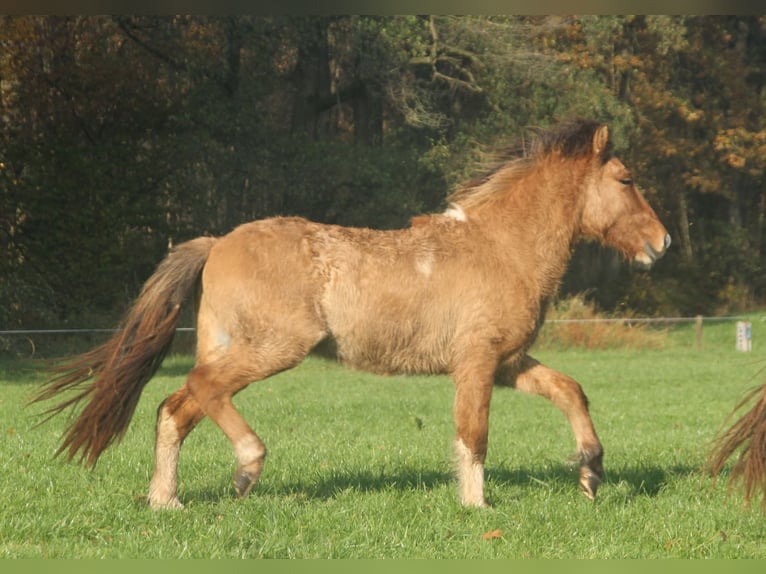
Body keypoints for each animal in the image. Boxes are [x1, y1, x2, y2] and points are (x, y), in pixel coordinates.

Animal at [33, 118, 670, 509]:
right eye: (626, 179)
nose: (662, 243)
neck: (500, 246)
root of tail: (216, 243)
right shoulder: (477, 363)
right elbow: (474, 435)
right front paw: (477, 507)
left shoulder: (509, 361)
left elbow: (570, 390)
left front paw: (591, 472)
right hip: (272, 348)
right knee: (202, 390)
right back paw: (246, 468)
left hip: (232, 347)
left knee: (175, 408)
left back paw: (166, 500)